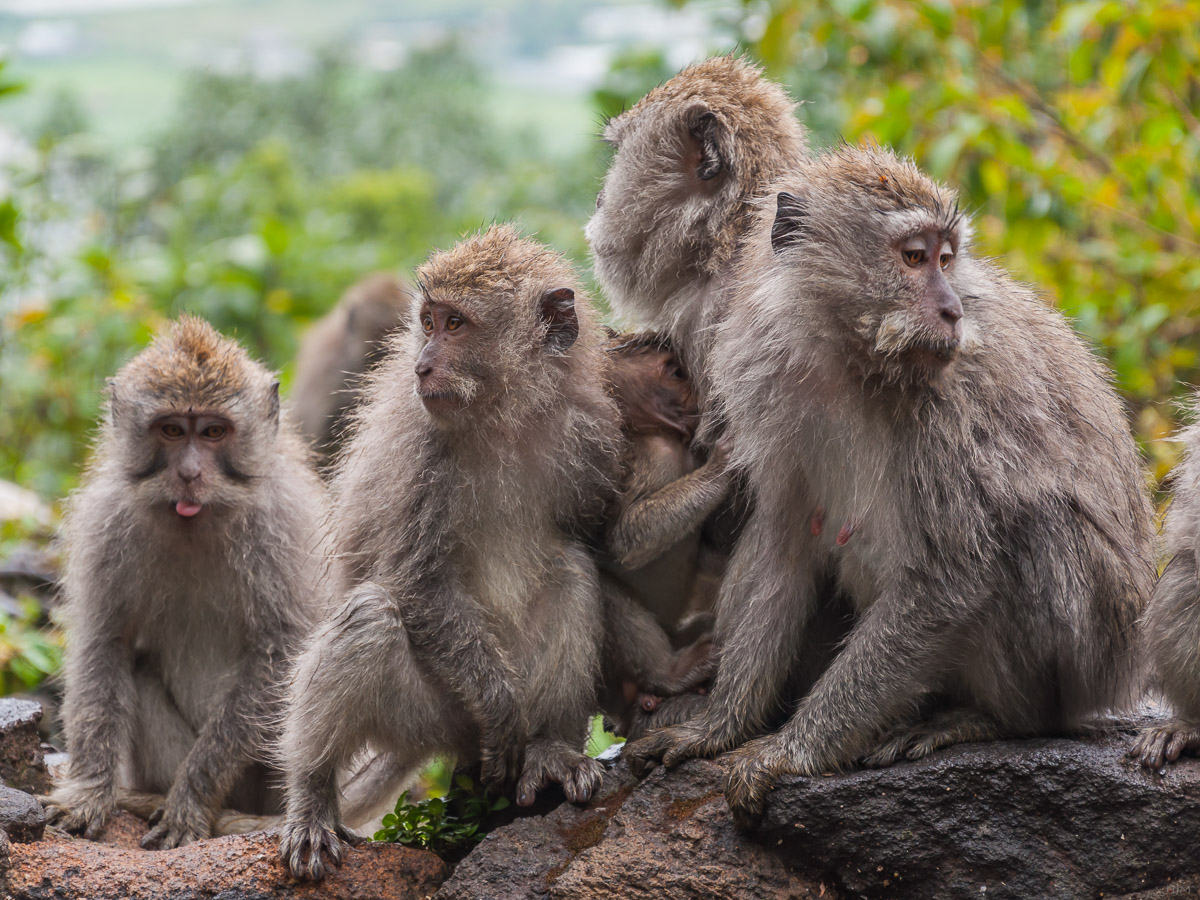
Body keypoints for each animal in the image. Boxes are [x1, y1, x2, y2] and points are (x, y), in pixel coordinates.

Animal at [628, 142, 1152, 830]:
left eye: (946, 258)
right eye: (914, 257)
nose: (953, 309)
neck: (850, 363)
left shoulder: (953, 411)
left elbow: (949, 579)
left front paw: (787, 754)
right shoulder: (766, 387)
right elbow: (783, 545)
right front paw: (720, 727)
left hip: (1091, 655)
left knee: (1036, 528)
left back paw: (994, 719)